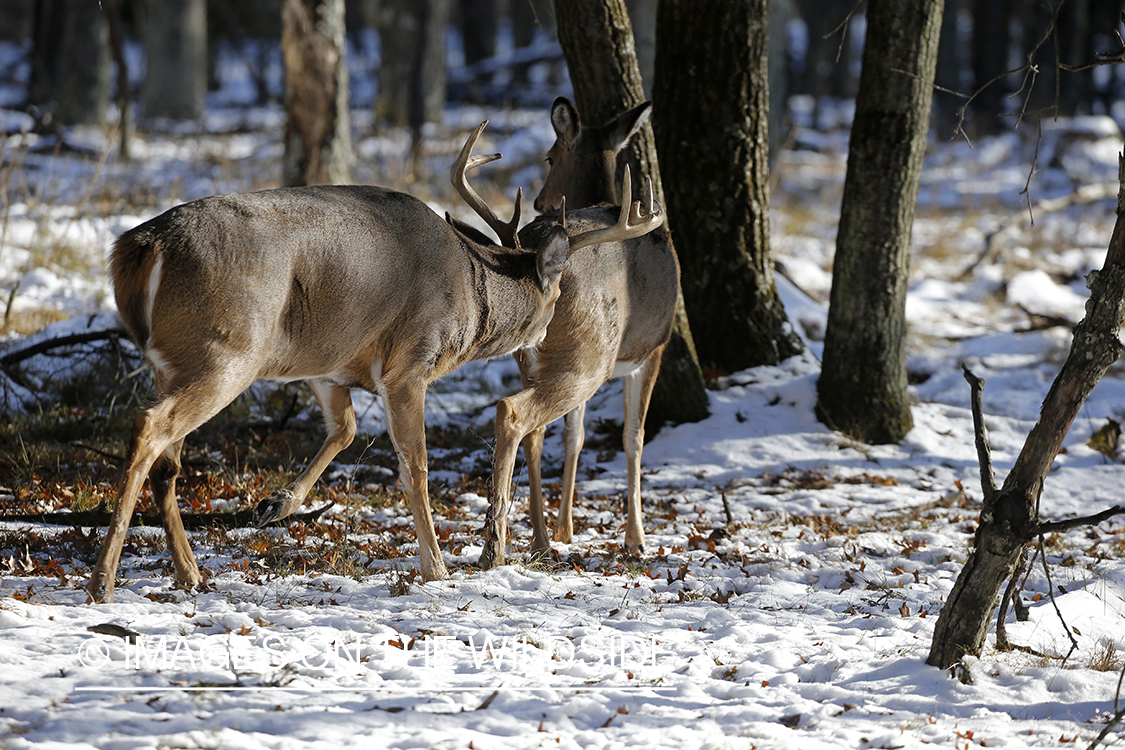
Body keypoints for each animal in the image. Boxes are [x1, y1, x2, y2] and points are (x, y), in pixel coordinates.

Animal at [90, 122, 666, 602]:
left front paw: (278, 503)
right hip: (227, 349)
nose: (549, 328)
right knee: (149, 428)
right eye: (558, 290)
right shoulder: (410, 362)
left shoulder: (326, 362)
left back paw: (189, 573)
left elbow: (344, 429)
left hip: (180, 362)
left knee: (168, 459)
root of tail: (140, 245)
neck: (471, 289)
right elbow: (416, 467)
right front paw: (437, 568)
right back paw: (104, 581)